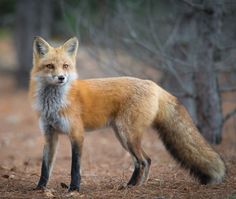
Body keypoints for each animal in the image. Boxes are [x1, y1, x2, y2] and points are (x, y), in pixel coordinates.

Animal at [29, 36, 225, 192]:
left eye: (65, 66)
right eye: (50, 66)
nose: (61, 77)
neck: (54, 103)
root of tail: (153, 84)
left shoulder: (77, 134)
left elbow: (74, 168)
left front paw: (74, 189)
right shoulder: (50, 135)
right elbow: (45, 168)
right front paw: (40, 188)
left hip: (127, 135)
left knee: (144, 160)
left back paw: (131, 186)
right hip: (123, 137)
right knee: (145, 160)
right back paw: (137, 185)